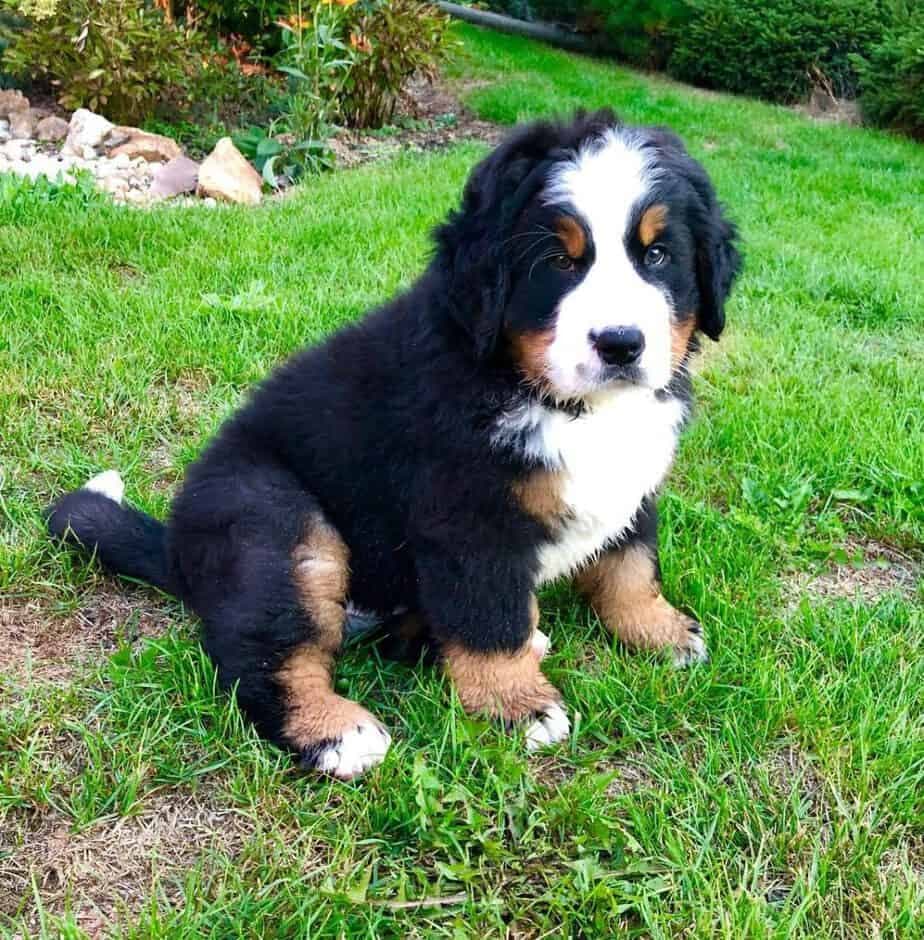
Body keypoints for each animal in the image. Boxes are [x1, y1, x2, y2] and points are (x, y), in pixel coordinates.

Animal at [50, 112, 744, 780]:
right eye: (559, 262)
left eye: (658, 256)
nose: (621, 343)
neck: (555, 400)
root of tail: (176, 546)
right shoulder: (468, 520)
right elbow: (489, 621)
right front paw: (517, 706)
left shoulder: (633, 484)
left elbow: (631, 567)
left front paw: (660, 630)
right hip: (273, 518)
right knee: (260, 655)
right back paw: (335, 732)